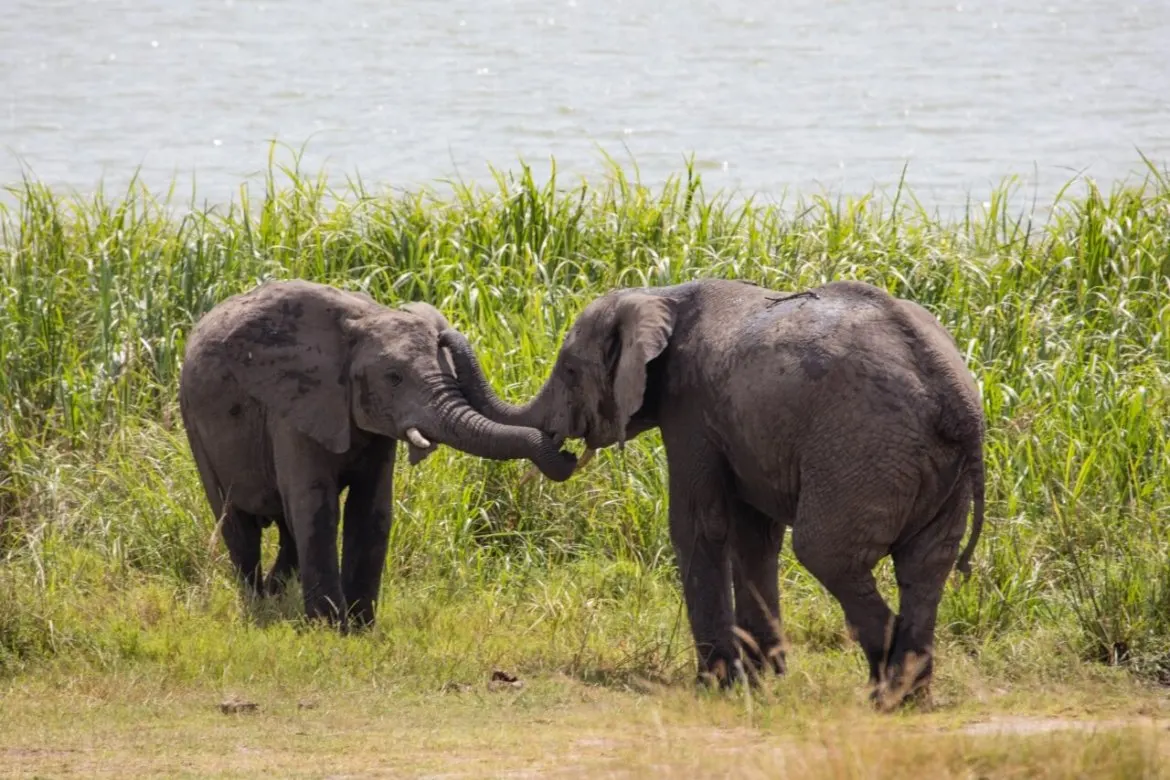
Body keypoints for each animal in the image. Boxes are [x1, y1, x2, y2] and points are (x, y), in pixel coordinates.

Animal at [180, 279, 577, 626]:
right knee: (236, 522)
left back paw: (276, 598)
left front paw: (360, 629)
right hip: (195, 426)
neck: (363, 320)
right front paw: (329, 629)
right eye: (394, 378)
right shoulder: (296, 407)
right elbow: (317, 508)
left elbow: (372, 511)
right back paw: (258, 605)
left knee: (287, 530)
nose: (570, 455)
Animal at [442, 275, 982, 706]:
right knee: (925, 567)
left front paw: (718, 683)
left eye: (571, 370)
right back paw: (909, 697)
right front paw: (765, 677)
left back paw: (884, 695)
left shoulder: (691, 408)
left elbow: (698, 525)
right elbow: (753, 535)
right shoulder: (741, 429)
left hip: (861, 451)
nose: (443, 334)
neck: (660, 294)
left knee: (826, 553)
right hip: (927, 468)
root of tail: (957, 400)